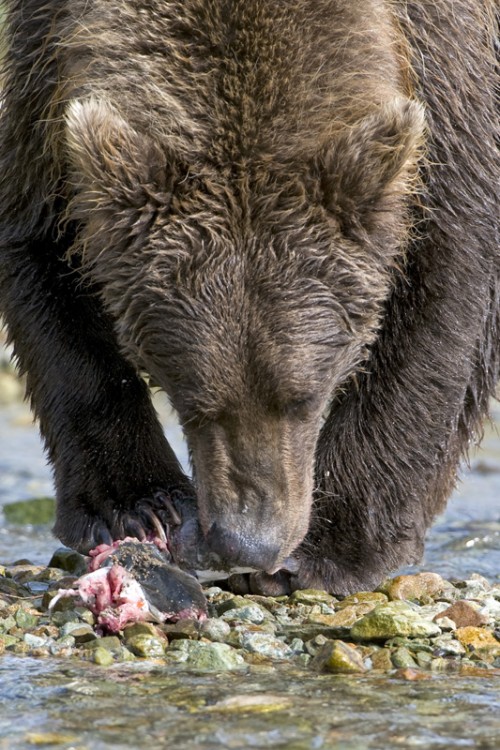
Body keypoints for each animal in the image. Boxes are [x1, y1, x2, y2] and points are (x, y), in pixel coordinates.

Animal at [0, 2, 498, 596]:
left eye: (305, 397)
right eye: (190, 400)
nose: (248, 543)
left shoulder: (449, 80)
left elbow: (442, 286)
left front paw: (331, 544)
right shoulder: (41, 74)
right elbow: (45, 265)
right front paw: (138, 506)